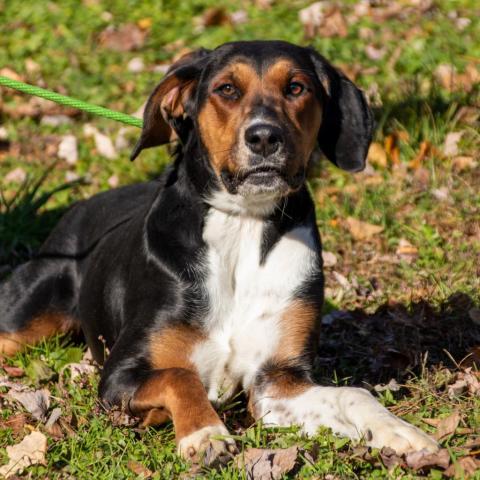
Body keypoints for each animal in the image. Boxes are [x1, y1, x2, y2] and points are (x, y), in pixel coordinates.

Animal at [0, 40, 438, 462]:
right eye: (226, 89)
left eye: (296, 87)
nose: (264, 137)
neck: (242, 223)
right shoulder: (120, 371)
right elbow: (181, 375)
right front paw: (205, 433)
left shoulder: (276, 383)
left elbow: (354, 393)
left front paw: (397, 430)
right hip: (23, 319)